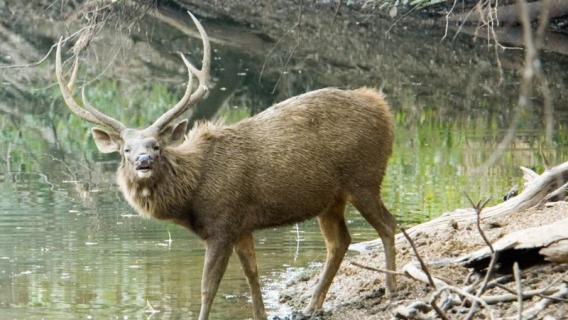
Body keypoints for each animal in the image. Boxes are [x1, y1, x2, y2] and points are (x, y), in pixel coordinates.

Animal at [56, 11, 394, 320]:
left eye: (157, 146)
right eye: (126, 149)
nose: (143, 161)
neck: (191, 197)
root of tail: (383, 108)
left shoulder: (223, 223)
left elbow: (208, 287)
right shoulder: (242, 226)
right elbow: (252, 274)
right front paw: (261, 314)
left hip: (364, 178)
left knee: (387, 225)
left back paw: (390, 289)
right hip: (330, 199)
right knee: (340, 242)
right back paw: (312, 306)